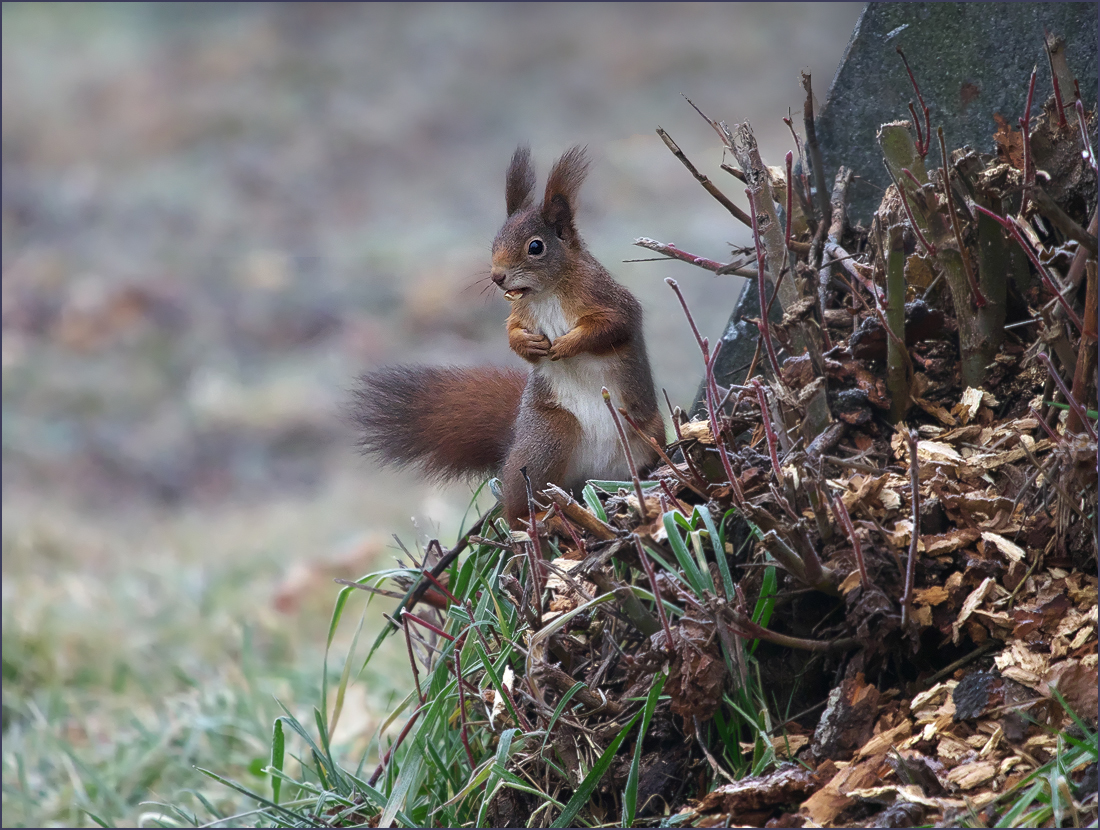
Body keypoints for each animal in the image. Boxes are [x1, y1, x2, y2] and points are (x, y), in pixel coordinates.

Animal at [354, 147, 660, 529]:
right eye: (495, 241)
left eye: (536, 247)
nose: (497, 277)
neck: (547, 292)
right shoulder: (520, 313)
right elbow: (513, 334)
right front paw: (529, 344)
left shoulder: (610, 301)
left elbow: (612, 327)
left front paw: (567, 344)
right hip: (546, 439)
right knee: (517, 506)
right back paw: (540, 520)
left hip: (646, 435)